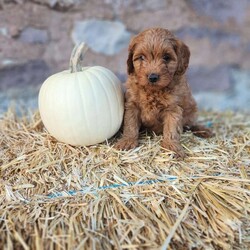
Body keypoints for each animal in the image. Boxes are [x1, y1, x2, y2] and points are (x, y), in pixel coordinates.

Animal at [114, 28, 212, 157]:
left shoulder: (173, 108)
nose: (153, 77)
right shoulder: (132, 105)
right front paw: (127, 141)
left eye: (166, 57)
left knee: (191, 124)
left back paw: (203, 130)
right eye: (141, 57)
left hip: (192, 110)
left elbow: (171, 129)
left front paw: (172, 146)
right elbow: (130, 124)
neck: (153, 91)